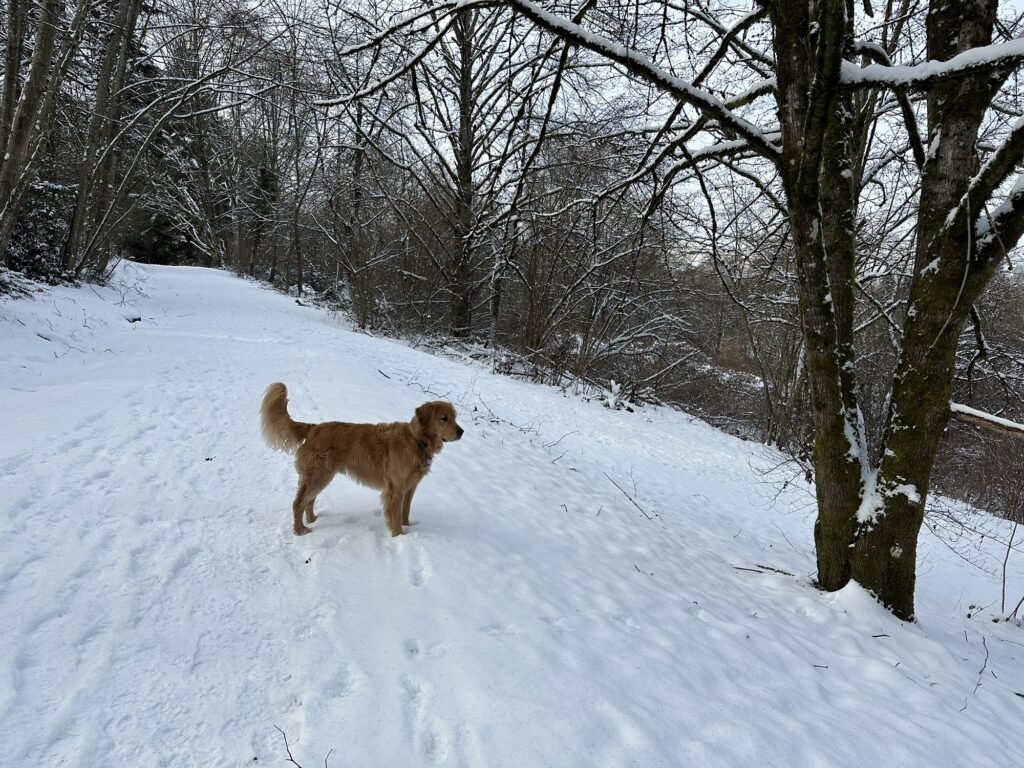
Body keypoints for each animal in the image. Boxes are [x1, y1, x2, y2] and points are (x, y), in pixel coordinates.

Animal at [260, 382, 464, 536]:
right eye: (444, 418)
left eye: (455, 417)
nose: (461, 431)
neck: (417, 441)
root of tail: (313, 428)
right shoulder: (395, 489)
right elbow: (395, 517)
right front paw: (400, 537)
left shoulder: (410, 487)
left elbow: (405, 512)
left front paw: (408, 527)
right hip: (317, 475)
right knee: (298, 503)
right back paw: (300, 530)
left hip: (322, 476)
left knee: (309, 501)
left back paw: (312, 520)